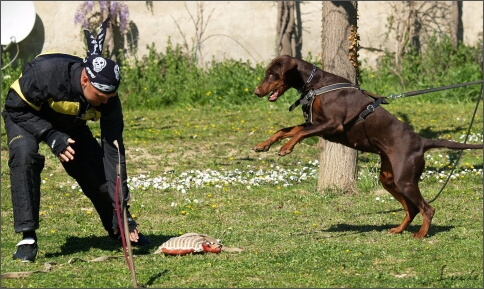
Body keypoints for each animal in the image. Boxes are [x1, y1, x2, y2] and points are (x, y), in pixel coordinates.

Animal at [251, 54, 482, 236]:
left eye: (272, 74)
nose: (256, 92)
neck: (317, 85)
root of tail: (422, 142)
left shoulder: (332, 124)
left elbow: (299, 132)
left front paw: (286, 148)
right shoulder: (315, 123)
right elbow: (284, 130)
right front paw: (263, 145)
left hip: (405, 179)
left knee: (427, 209)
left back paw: (421, 234)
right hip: (389, 178)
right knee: (412, 209)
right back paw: (398, 229)